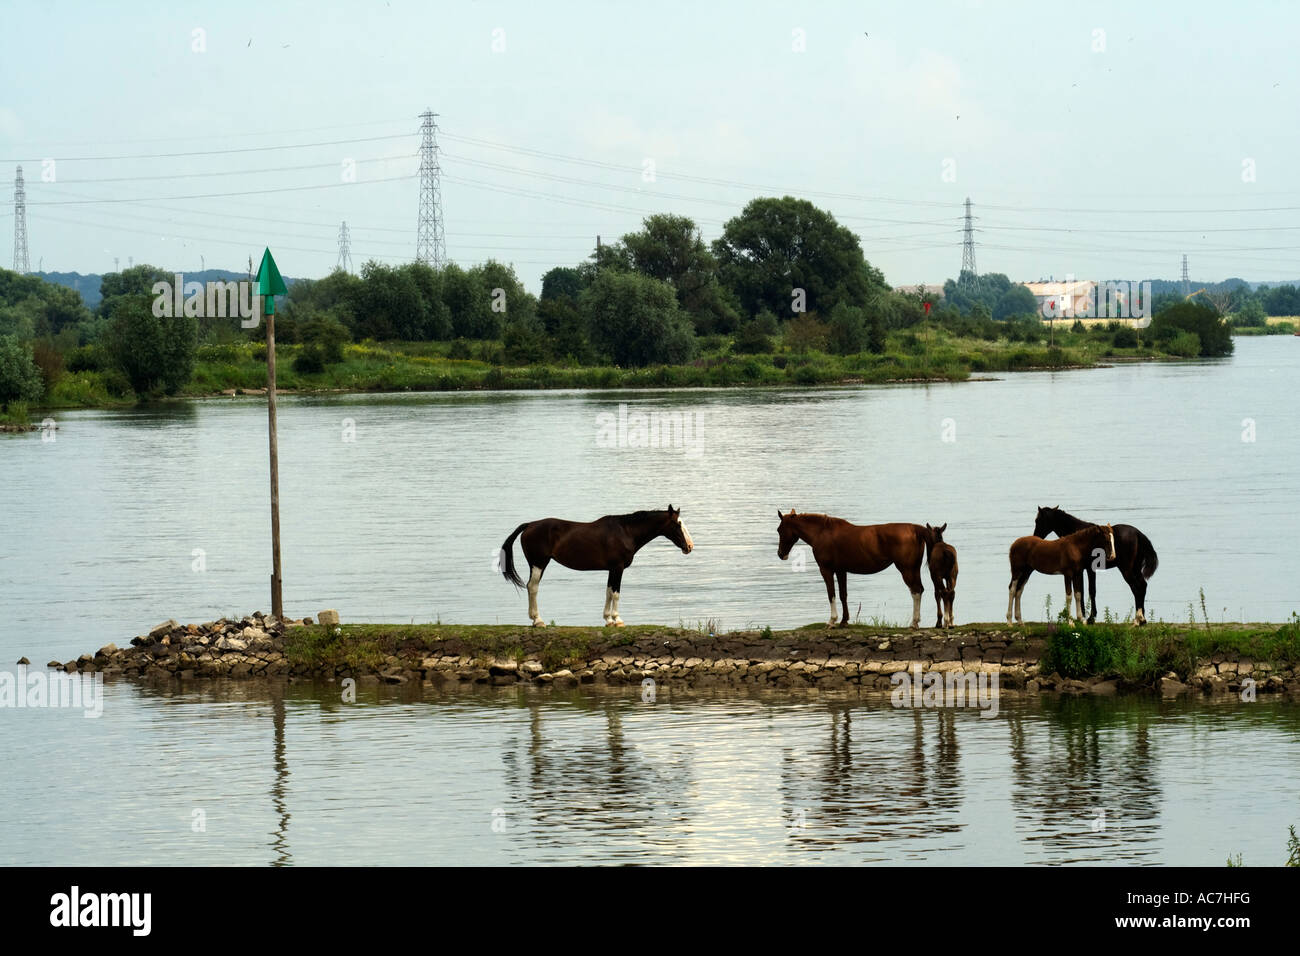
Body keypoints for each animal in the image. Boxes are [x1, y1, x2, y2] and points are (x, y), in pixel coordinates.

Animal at [501, 504, 696, 632]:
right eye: (678, 524)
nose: (690, 546)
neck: (625, 531)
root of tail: (529, 525)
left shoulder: (612, 570)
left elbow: (608, 592)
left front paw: (608, 620)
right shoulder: (618, 568)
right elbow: (616, 593)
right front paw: (618, 620)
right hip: (539, 563)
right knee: (533, 587)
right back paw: (538, 621)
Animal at [774, 509, 930, 629]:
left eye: (780, 530)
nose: (781, 554)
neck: (822, 532)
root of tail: (914, 529)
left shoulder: (826, 570)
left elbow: (831, 594)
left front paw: (832, 621)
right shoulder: (841, 571)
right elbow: (843, 595)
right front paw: (844, 621)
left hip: (906, 569)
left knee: (915, 591)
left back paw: (914, 623)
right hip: (914, 569)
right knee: (920, 590)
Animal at [1034, 504, 1159, 632]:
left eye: (1038, 520)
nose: (1036, 536)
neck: (1077, 535)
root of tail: (1139, 534)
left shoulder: (1086, 569)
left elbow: (1089, 591)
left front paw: (1089, 618)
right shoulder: (1083, 570)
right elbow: (1083, 591)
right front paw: (1084, 617)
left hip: (1126, 569)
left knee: (1136, 588)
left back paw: (1137, 620)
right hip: (1135, 568)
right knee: (1143, 586)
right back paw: (1142, 619)